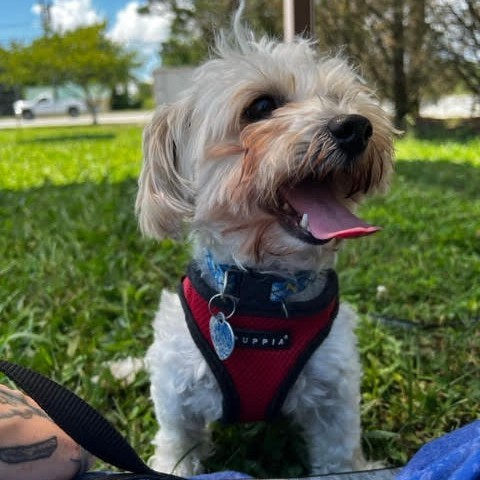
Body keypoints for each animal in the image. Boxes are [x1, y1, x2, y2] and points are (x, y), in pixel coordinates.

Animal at [135, 11, 394, 476]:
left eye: (340, 97)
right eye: (261, 107)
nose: (356, 126)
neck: (266, 293)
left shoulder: (335, 389)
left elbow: (338, 453)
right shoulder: (177, 392)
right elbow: (177, 445)